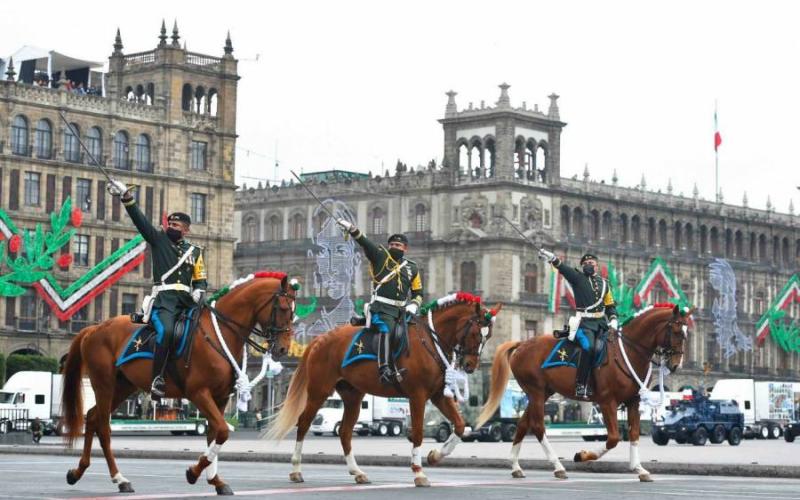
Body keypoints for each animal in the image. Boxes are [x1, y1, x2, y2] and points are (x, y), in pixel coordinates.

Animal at [60, 274, 296, 496]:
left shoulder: (220, 397)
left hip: (123, 385)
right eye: (284, 308)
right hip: (104, 383)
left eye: (293, 312)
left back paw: (79, 472)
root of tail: (95, 329)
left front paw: (216, 481)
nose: (283, 349)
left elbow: (214, 434)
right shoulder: (198, 393)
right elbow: (221, 431)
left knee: (92, 417)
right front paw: (193, 473)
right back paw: (119, 478)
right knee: (102, 426)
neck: (219, 333)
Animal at [268, 292, 500, 488]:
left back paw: (358, 472)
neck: (430, 341)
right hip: (319, 391)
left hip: (352, 396)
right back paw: (296, 470)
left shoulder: (437, 395)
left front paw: (435, 455)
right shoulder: (417, 395)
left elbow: (460, 426)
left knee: (344, 431)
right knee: (303, 423)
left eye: (488, 336)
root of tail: (319, 339)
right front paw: (419, 472)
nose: (470, 365)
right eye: (475, 333)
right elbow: (418, 432)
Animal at [476, 302, 692, 482]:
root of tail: (522, 343)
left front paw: (639, 469)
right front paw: (583, 456)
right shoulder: (607, 402)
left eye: (686, 334)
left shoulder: (633, 402)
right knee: (537, 427)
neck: (627, 353)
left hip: (543, 392)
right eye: (676, 331)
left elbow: (634, 434)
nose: (675, 365)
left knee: (522, 424)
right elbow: (613, 438)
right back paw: (558, 466)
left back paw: (515, 466)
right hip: (535, 391)